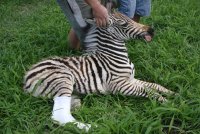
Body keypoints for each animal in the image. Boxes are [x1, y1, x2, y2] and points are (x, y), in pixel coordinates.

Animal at [22, 12, 174, 131]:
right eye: (124, 24)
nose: (152, 30)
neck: (115, 56)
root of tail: (27, 76)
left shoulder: (131, 79)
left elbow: (154, 86)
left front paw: (172, 94)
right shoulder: (118, 85)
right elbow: (148, 91)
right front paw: (168, 104)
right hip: (63, 78)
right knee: (59, 116)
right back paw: (93, 127)